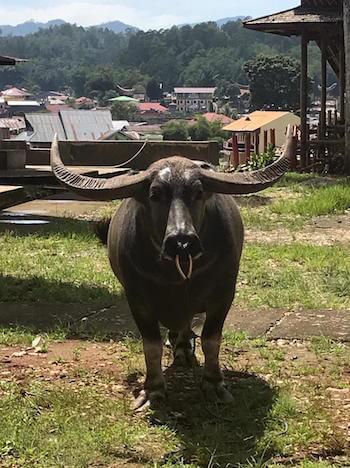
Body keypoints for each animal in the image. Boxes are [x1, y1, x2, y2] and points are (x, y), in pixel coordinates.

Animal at [51, 128, 292, 410]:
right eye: (155, 194)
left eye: (198, 192)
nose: (182, 240)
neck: (178, 275)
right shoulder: (138, 301)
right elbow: (151, 346)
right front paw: (153, 390)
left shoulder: (223, 296)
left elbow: (211, 340)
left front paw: (214, 384)